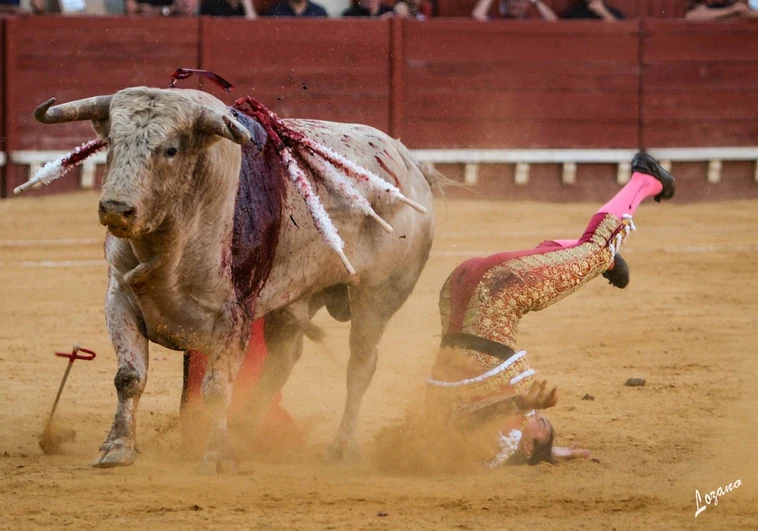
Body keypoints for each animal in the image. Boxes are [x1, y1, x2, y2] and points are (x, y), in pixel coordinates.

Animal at [32, 87, 436, 474]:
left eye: (171, 150)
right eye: (112, 142)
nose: (116, 209)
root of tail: (410, 164)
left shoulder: (233, 315)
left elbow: (216, 389)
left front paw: (214, 456)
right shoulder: (119, 297)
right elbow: (129, 376)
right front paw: (117, 449)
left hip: (378, 295)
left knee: (361, 363)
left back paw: (340, 447)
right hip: (296, 296)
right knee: (282, 360)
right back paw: (246, 434)